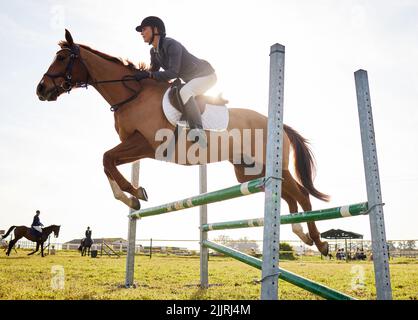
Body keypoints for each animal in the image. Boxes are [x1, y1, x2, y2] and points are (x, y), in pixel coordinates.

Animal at [35, 30, 330, 255]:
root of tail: (278, 123)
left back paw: (319, 242)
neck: (132, 96)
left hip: (273, 166)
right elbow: (108, 163)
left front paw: (136, 194)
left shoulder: (147, 144)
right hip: (249, 171)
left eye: (62, 58)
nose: (41, 90)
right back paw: (302, 233)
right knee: (287, 194)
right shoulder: (136, 146)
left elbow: (107, 158)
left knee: (301, 194)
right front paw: (131, 198)